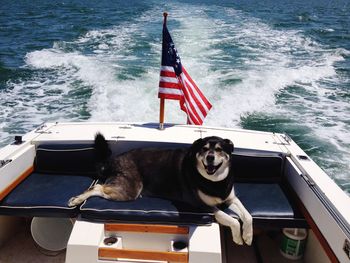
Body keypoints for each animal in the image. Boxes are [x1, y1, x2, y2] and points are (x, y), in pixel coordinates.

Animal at [68, 135, 253, 246]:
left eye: (220, 149)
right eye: (204, 149)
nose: (210, 157)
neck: (215, 182)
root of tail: (114, 160)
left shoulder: (231, 199)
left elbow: (248, 216)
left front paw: (248, 236)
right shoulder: (203, 206)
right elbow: (232, 220)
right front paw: (238, 238)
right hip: (129, 190)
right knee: (98, 186)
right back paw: (76, 199)